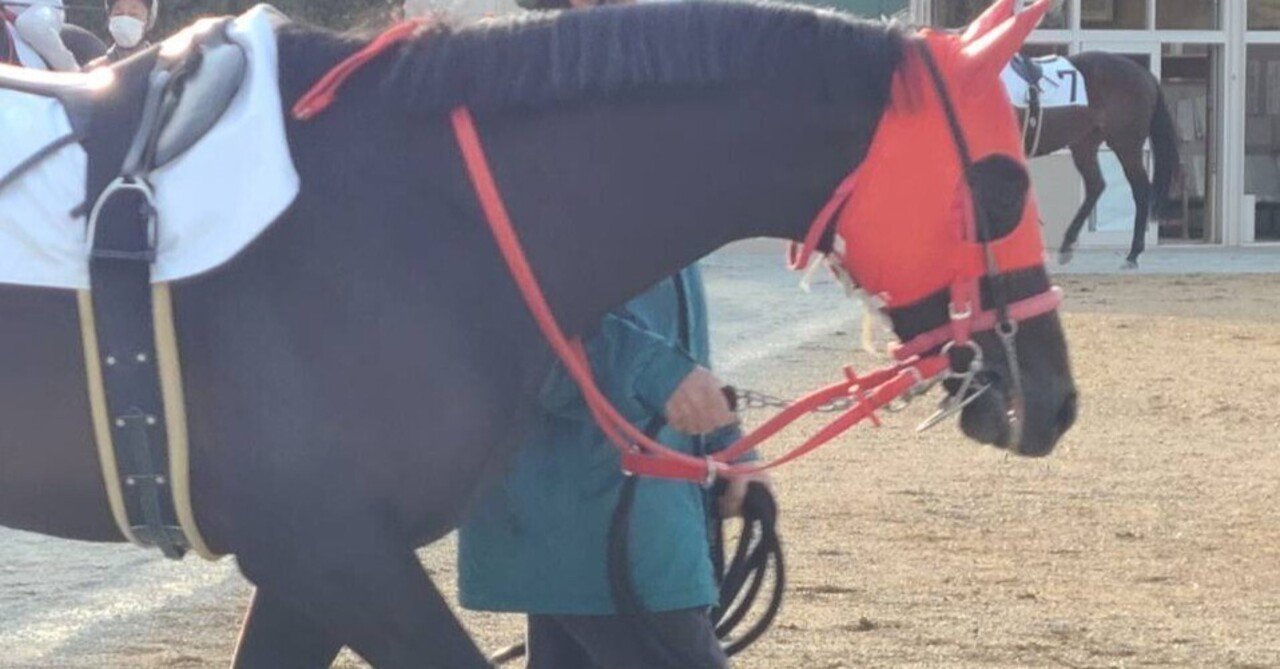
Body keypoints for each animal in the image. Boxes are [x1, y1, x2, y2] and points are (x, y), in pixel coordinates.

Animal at [1023, 51, 1180, 268]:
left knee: (1140, 189)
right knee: (1096, 185)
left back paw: (1133, 253)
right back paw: (1067, 244)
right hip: (1085, 144)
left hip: (1126, 146)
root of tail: (1146, 75)